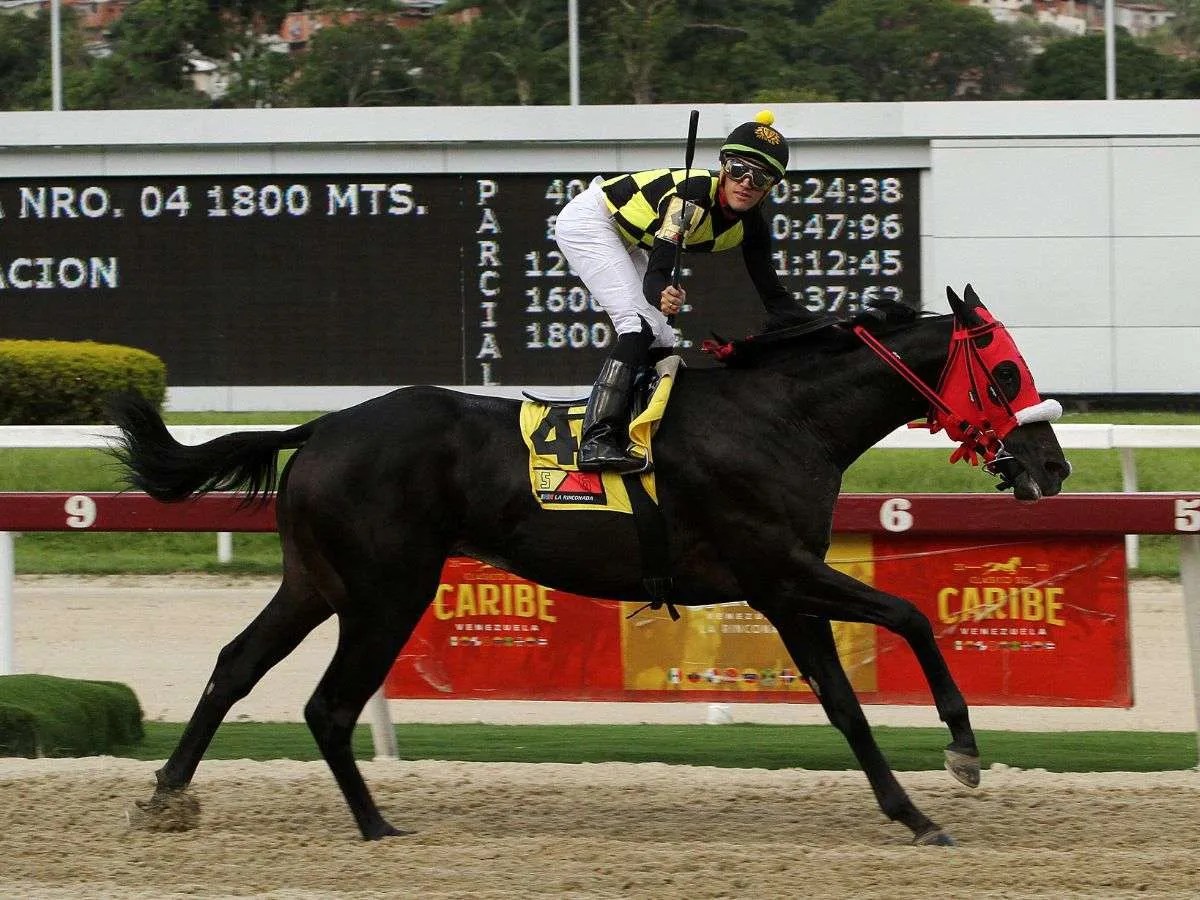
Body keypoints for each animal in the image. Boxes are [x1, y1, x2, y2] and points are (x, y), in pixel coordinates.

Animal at [110, 286, 1070, 844]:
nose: (1053, 467)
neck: (779, 418)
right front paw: (960, 754)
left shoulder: (781, 589)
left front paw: (912, 810)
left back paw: (167, 796)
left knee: (237, 666)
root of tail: (319, 428)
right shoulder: (779, 570)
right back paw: (376, 825)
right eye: (1006, 371)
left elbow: (843, 701)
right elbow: (908, 617)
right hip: (387, 591)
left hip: (317, 580)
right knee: (329, 703)